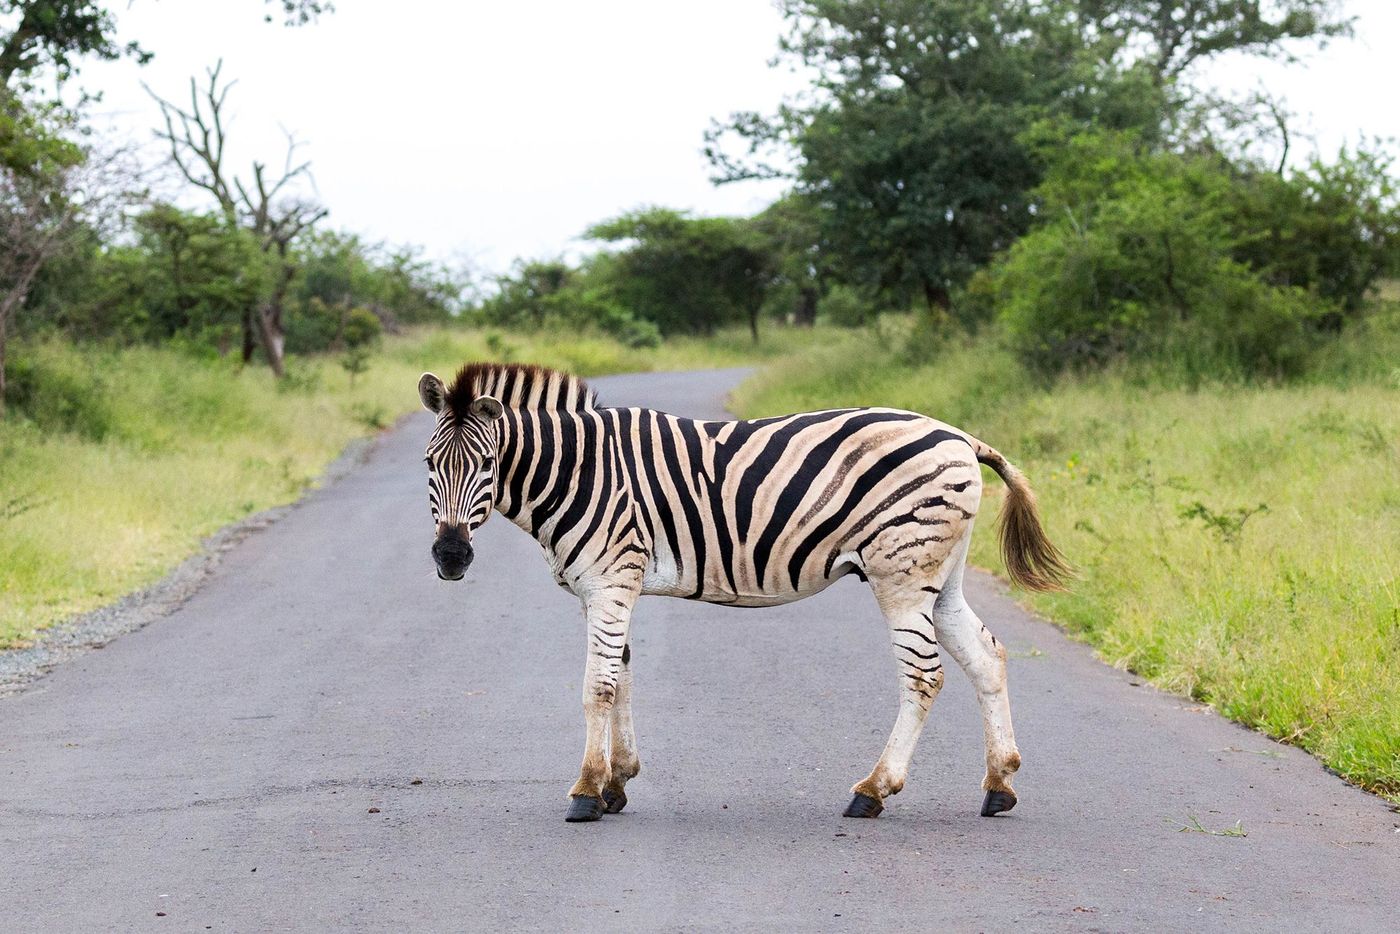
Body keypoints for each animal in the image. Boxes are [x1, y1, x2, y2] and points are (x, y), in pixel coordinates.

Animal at [418, 363, 1070, 823]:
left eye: (486, 465)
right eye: (429, 464)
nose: (450, 559)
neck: (580, 472)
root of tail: (960, 436)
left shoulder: (609, 581)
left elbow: (597, 686)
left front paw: (584, 792)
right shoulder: (611, 585)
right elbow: (622, 675)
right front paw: (616, 783)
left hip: (902, 571)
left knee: (924, 676)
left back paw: (873, 791)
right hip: (942, 573)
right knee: (987, 656)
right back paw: (999, 786)